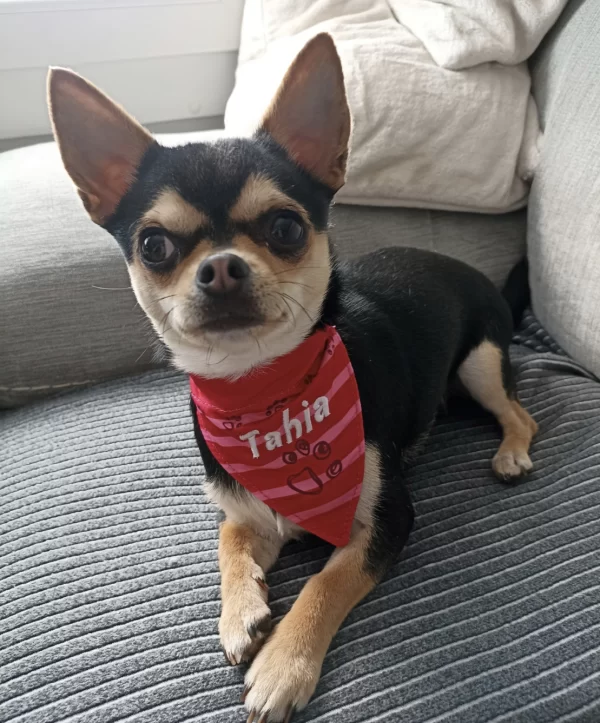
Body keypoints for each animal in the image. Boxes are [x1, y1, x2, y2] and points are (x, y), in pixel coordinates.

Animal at [45, 34, 536, 723]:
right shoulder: (246, 508)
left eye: (284, 227)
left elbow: (326, 582)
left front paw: (283, 664)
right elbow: (229, 538)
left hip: (480, 362)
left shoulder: (388, 521)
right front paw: (240, 613)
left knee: (520, 411)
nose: (221, 267)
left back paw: (512, 451)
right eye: (154, 245)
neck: (262, 392)